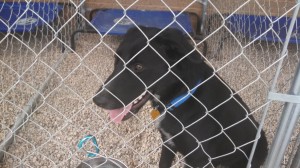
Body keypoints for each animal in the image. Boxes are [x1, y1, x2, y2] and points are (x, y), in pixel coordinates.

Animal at [93, 26, 268, 167]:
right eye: (116, 61)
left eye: (139, 67)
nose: (97, 100)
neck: (182, 97)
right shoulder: (168, 142)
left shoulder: (197, 159)